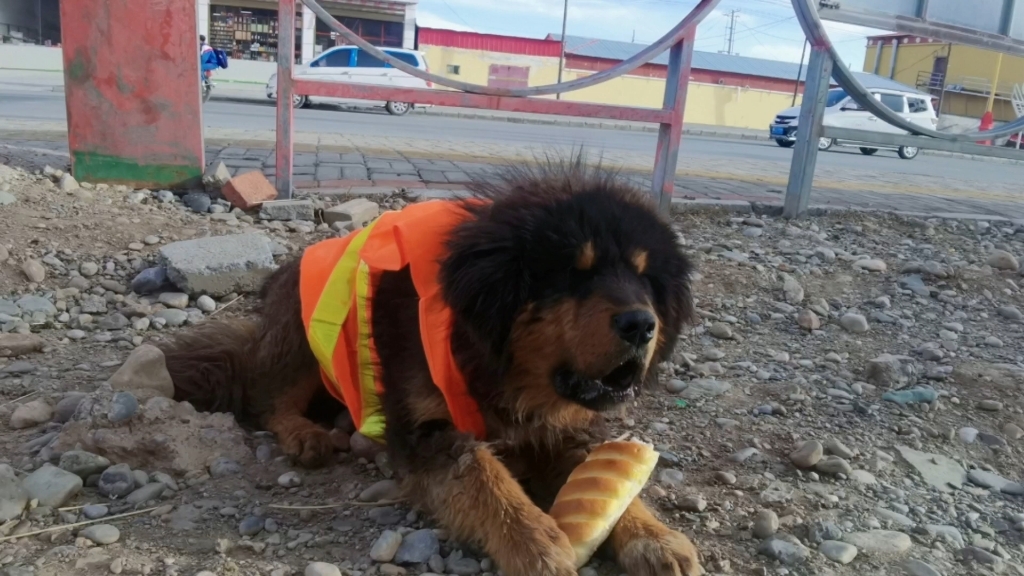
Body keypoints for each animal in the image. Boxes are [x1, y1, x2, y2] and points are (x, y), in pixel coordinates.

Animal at [159, 154, 700, 569]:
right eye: (573, 274)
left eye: (645, 278)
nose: (641, 324)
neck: (493, 364)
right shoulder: (425, 431)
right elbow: (481, 474)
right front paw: (534, 540)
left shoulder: (564, 431)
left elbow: (612, 483)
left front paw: (654, 538)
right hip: (304, 326)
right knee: (267, 398)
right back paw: (304, 434)